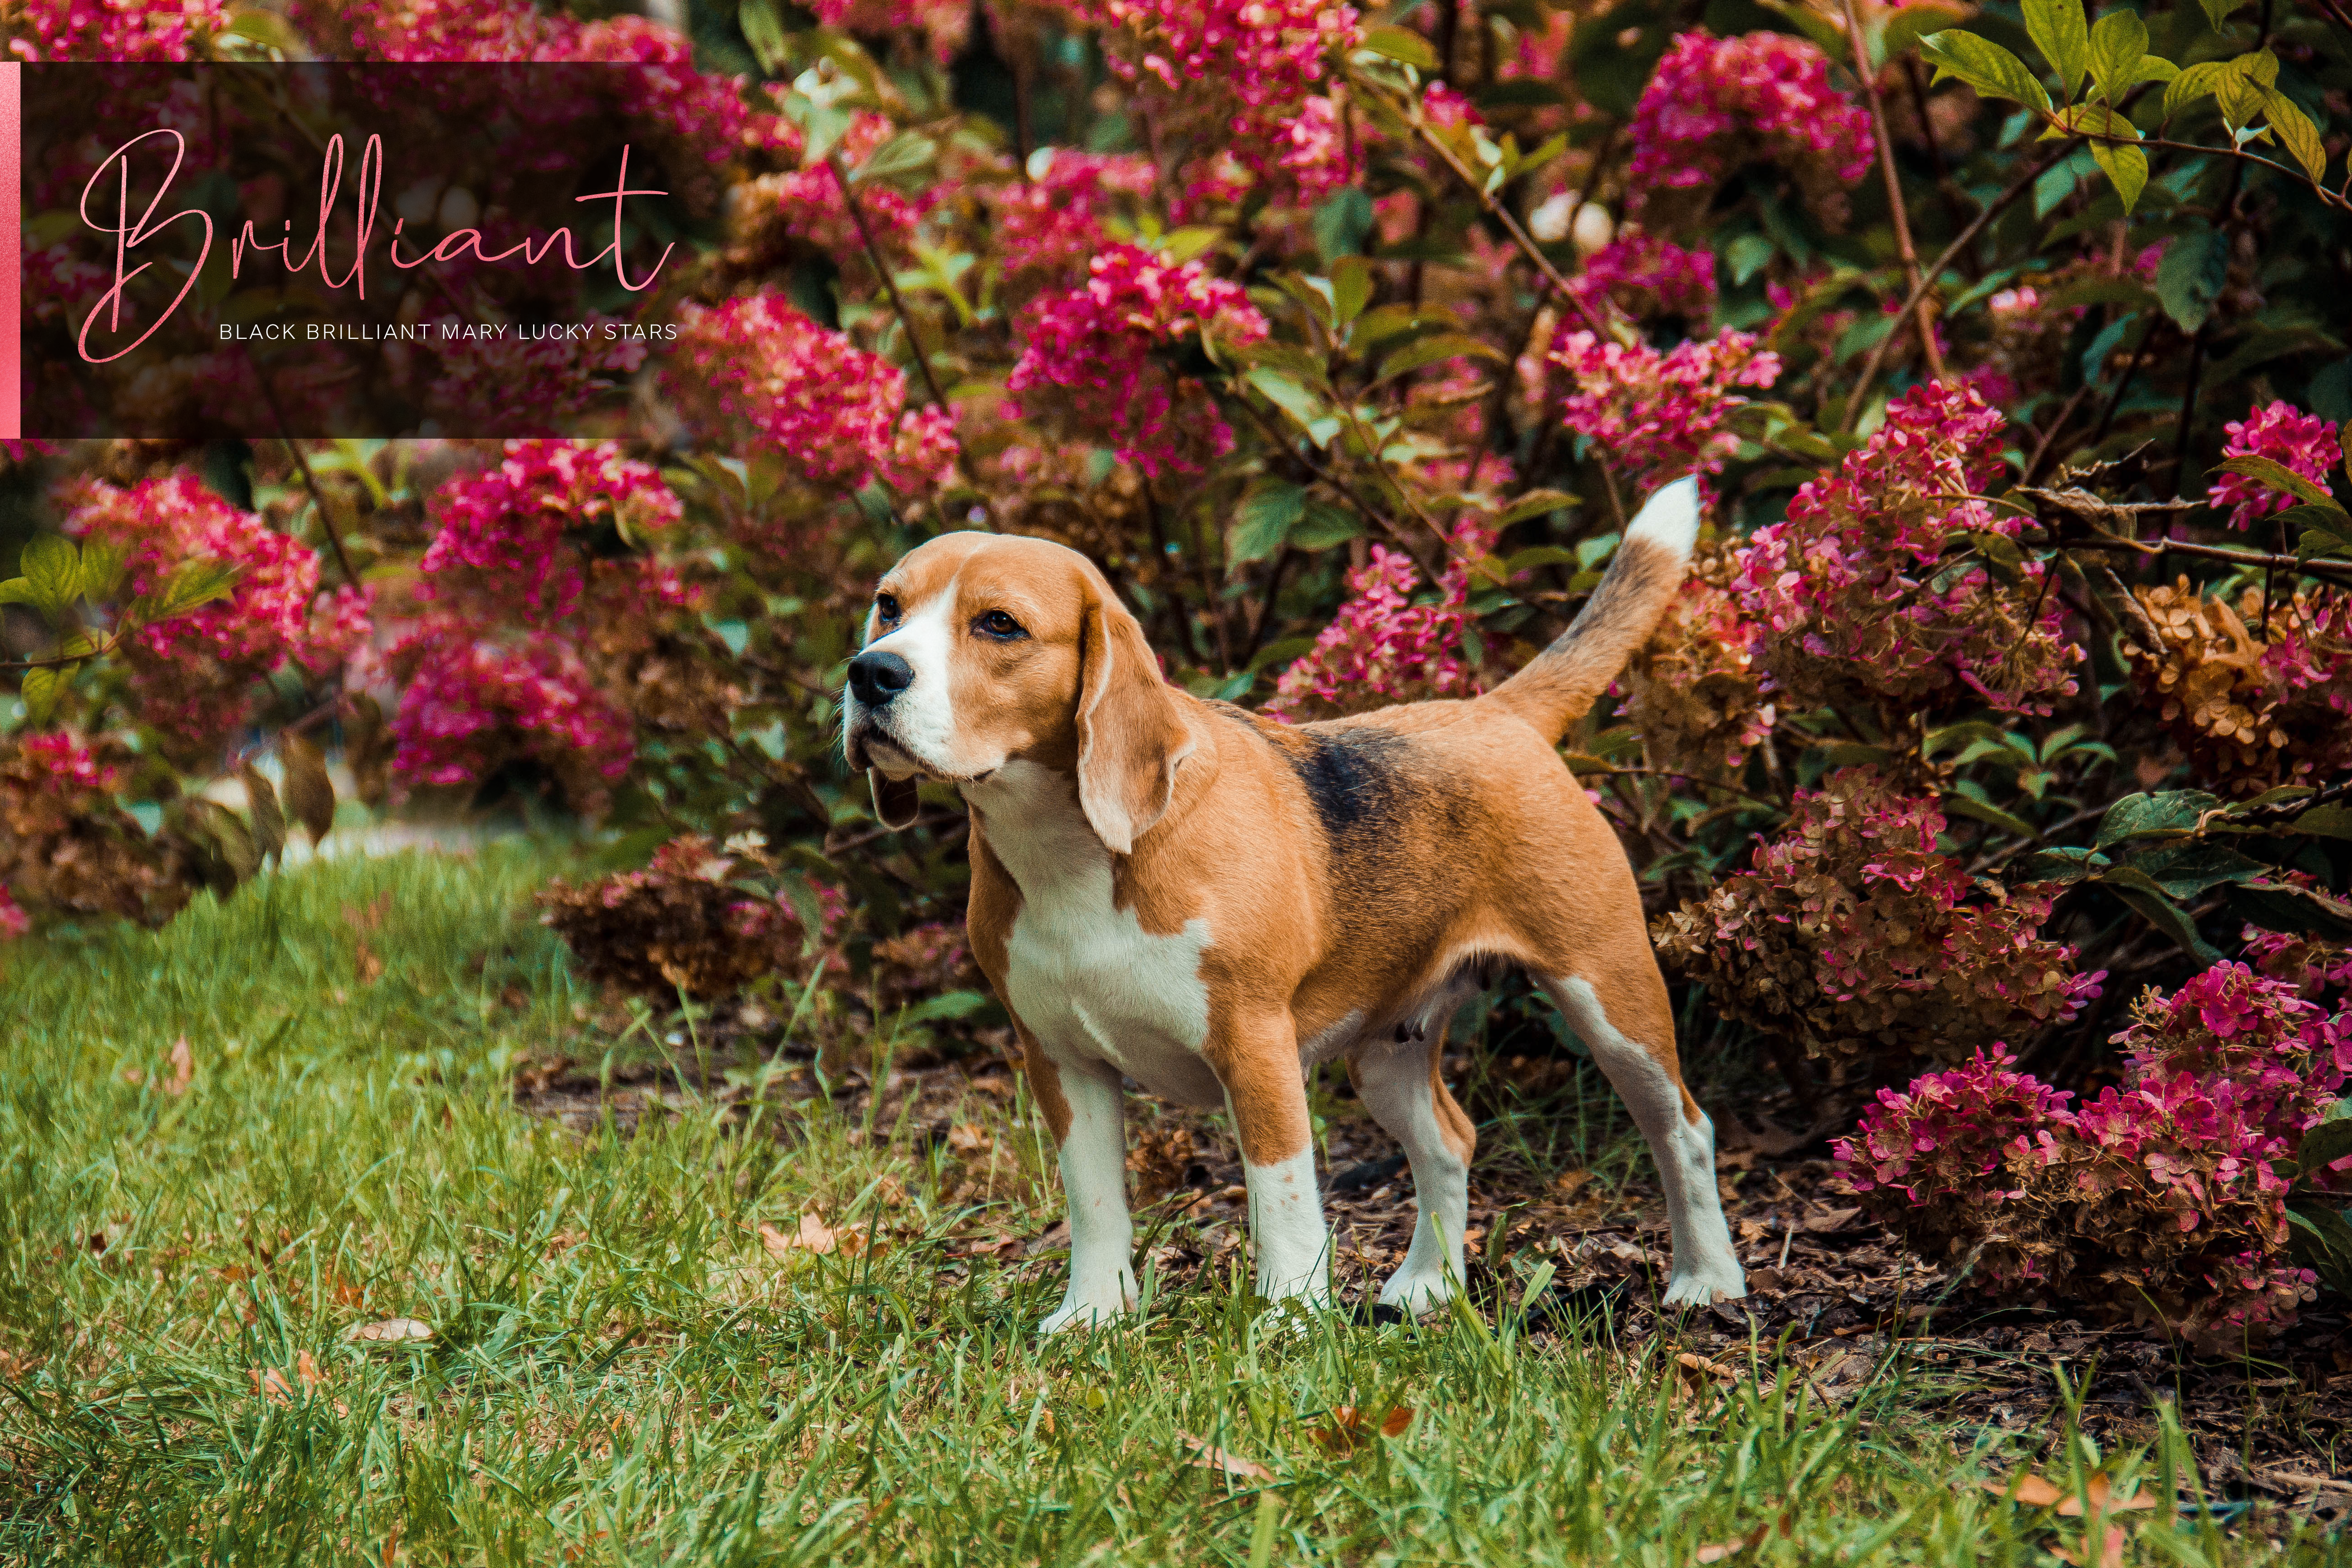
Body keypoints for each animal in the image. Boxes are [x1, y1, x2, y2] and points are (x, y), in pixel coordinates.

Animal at [847, 475, 1749, 1326]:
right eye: (889, 607)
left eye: (999, 625)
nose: (871, 672)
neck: (1071, 852)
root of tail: (1495, 712)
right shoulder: (1061, 1062)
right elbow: (1095, 1201)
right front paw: (1094, 1314)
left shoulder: (1255, 1044)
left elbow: (1279, 1198)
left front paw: (1287, 1317)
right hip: (1387, 1046)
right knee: (1449, 1143)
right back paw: (1429, 1285)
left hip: (1610, 997)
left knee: (1684, 1130)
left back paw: (1706, 1280)